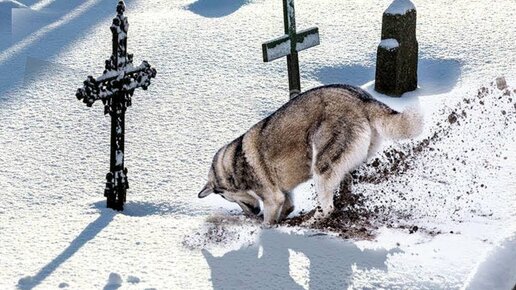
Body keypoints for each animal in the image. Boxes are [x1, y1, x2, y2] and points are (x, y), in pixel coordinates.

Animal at [198, 84, 424, 224]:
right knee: (344, 188)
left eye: (225, 196)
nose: (252, 213)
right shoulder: (283, 195)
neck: (235, 163)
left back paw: (312, 220)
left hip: (321, 167)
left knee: (327, 208)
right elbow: (287, 209)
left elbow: (268, 221)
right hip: (341, 165)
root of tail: (362, 98)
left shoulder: (272, 199)